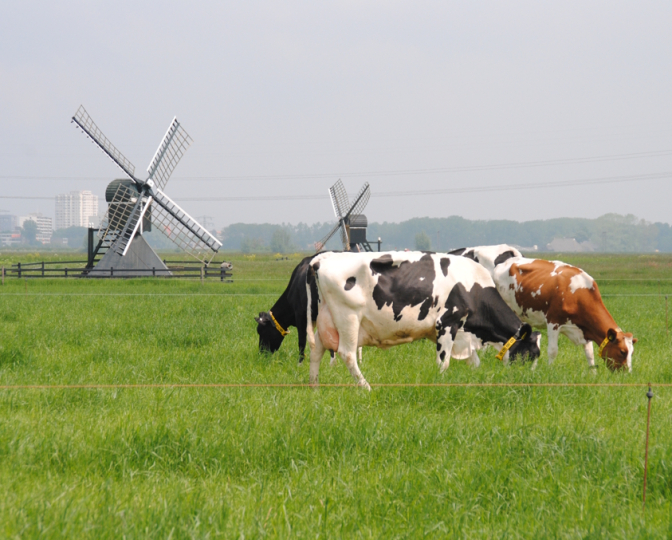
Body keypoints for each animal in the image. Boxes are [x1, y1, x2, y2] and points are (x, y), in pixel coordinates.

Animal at [306, 251, 541, 390]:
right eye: (531, 353)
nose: (529, 381)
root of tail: (323, 258)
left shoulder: (459, 334)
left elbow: (473, 362)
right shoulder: (447, 323)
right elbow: (443, 362)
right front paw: (441, 384)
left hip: (326, 318)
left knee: (316, 350)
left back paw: (314, 388)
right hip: (348, 317)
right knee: (347, 354)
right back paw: (366, 388)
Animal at [456, 245, 637, 371]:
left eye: (632, 352)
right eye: (622, 351)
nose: (626, 374)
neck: (579, 292)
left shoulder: (583, 330)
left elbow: (590, 354)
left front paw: (593, 374)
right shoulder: (553, 322)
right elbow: (553, 351)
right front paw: (550, 372)